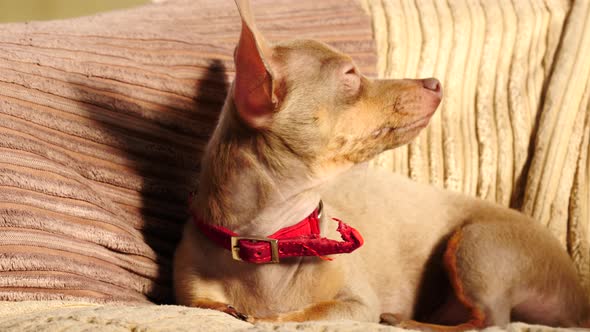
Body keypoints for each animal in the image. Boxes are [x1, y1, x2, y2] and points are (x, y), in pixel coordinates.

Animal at [173, 0, 588, 328]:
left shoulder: (356, 305)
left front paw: (271, 317)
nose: (435, 81)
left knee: (492, 319)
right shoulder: (190, 296)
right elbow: (212, 304)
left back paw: (406, 320)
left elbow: (309, 312)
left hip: (477, 244)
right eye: (351, 76)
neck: (277, 237)